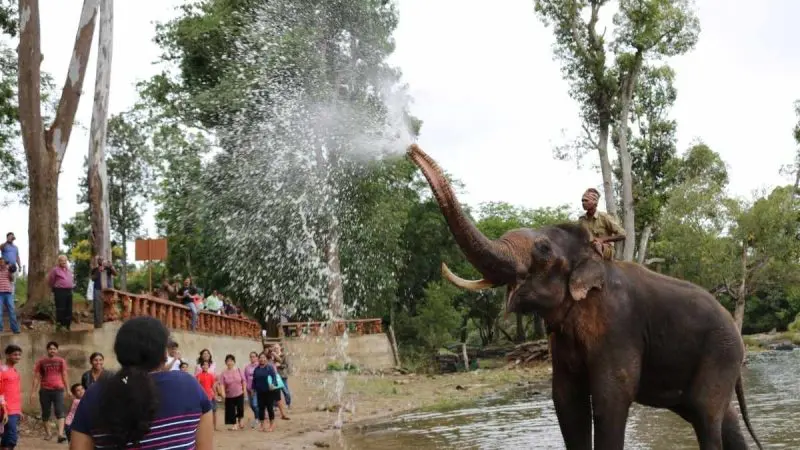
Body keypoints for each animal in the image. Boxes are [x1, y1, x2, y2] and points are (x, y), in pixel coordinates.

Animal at [406, 144, 763, 450]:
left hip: (721, 352)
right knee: (722, 417)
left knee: (706, 416)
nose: (410, 148)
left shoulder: (618, 326)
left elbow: (610, 399)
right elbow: (567, 402)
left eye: (543, 249)